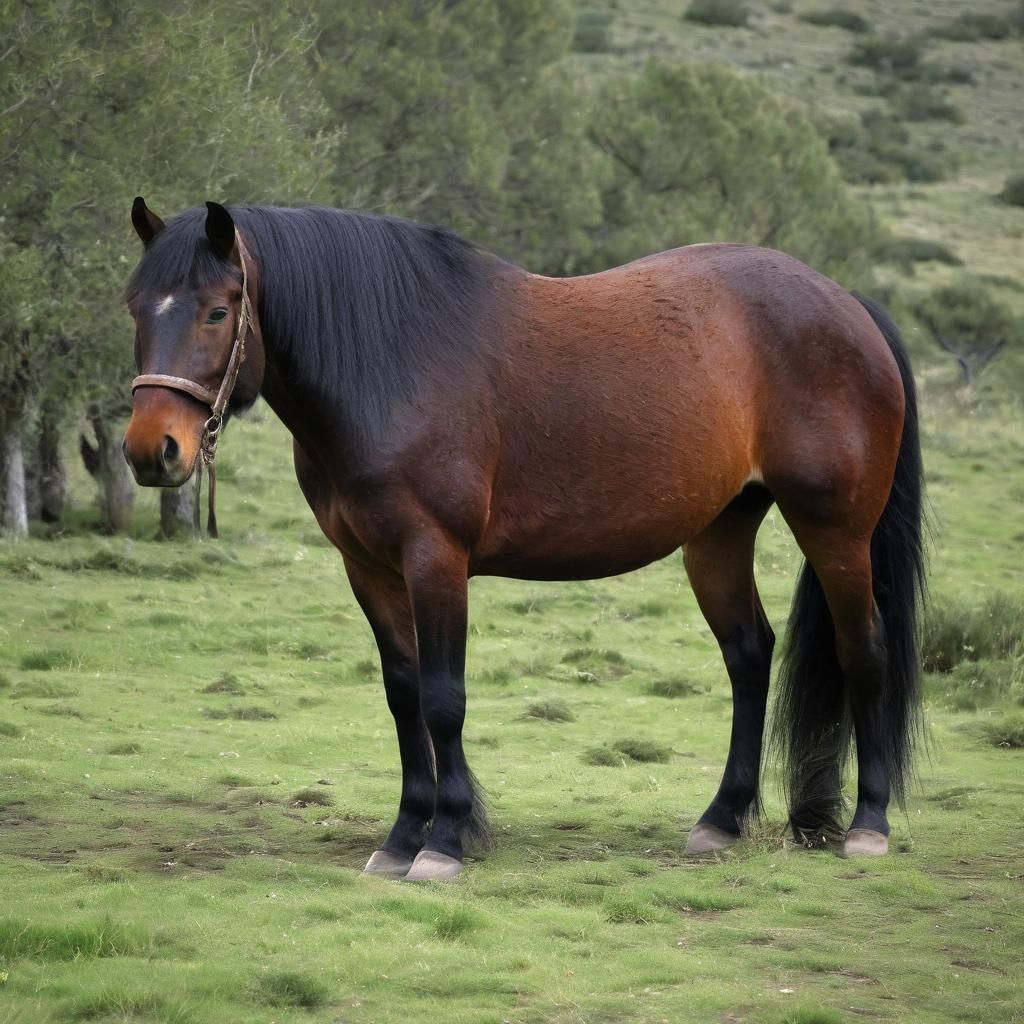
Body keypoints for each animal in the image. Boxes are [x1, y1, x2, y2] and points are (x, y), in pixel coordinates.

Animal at [123, 199, 924, 881]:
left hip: (835, 530)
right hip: (719, 534)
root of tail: (847, 305)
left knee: (863, 651)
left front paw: (445, 841)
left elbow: (443, 698)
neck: (393, 361)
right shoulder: (369, 567)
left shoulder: (435, 558)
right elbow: (403, 695)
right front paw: (403, 836)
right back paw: (722, 819)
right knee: (749, 655)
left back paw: (868, 825)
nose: (150, 450)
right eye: (135, 306)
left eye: (218, 310)